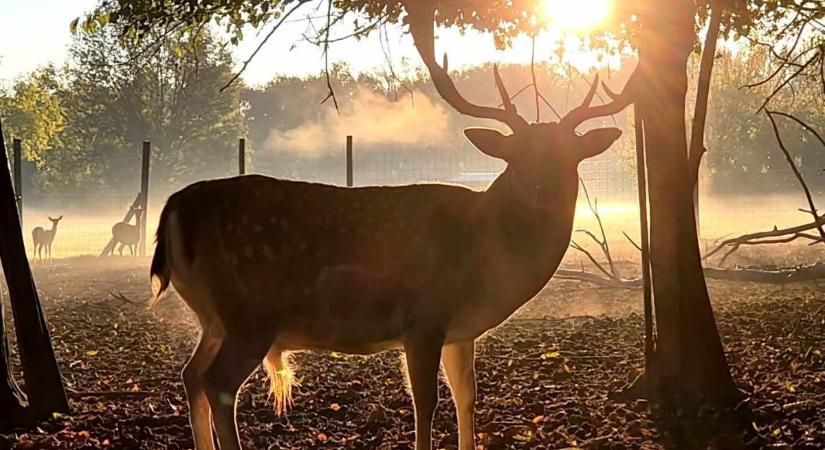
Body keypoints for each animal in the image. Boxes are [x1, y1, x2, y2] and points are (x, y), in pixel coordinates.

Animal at [146, 4, 624, 450]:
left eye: (571, 154)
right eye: (515, 154)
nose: (544, 186)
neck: (488, 263)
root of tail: (173, 208)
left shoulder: (461, 330)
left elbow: (467, 397)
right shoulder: (424, 316)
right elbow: (425, 401)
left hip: (215, 317)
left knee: (191, 375)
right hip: (250, 311)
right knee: (217, 383)